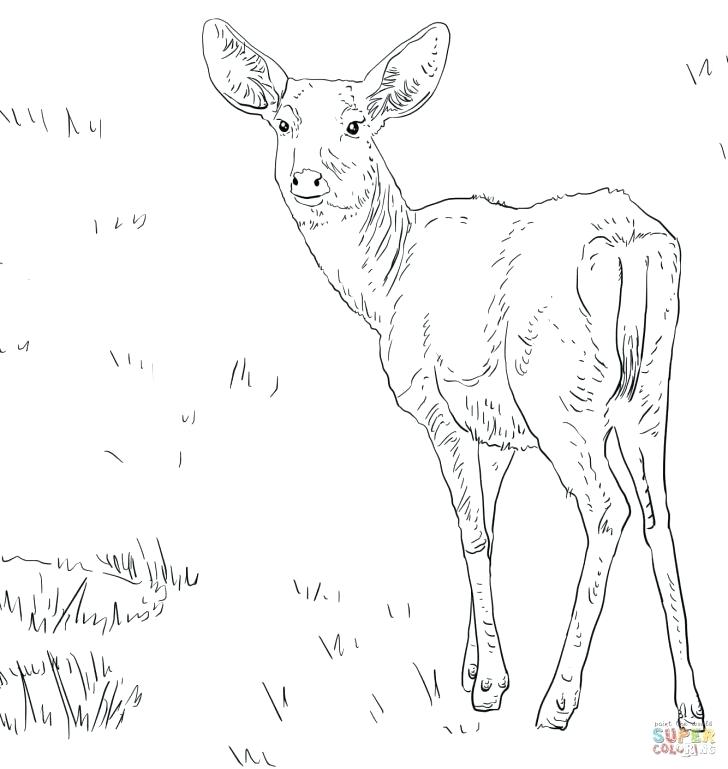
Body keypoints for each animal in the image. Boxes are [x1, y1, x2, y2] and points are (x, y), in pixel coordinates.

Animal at [202, 19, 705, 731]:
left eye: (356, 124)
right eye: (281, 119)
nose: (306, 180)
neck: (385, 281)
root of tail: (631, 246)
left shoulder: (437, 403)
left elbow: (470, 531)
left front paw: (489, 684)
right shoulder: (496, 429)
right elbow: (487, 527)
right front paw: (473, 666)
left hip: (561, 398)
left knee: (608, 509)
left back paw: (557, 701)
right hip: (649, 394)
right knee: (660, 517)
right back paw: (689, 704)